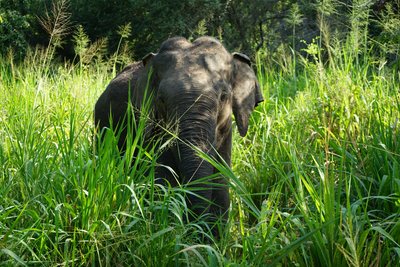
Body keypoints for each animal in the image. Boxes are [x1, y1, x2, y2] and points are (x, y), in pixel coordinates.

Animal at [93, 36, 262, 237]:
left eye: (223, 97)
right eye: (161, 99)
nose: (195, 229)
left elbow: (220, 182)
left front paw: (213, 239)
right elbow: (163, 181)